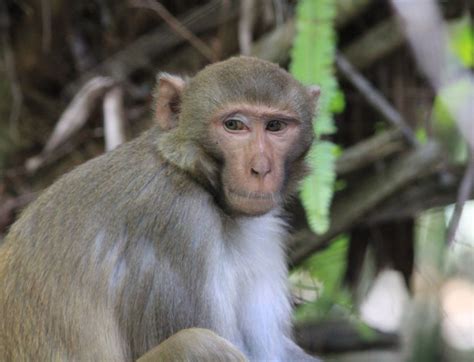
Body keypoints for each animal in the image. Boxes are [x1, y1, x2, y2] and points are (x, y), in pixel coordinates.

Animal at [0, 55, 322, 360]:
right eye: (234, 125)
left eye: (275, 126)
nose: (261, 169)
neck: (187, 170)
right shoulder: (177, 221)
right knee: (199, 344)